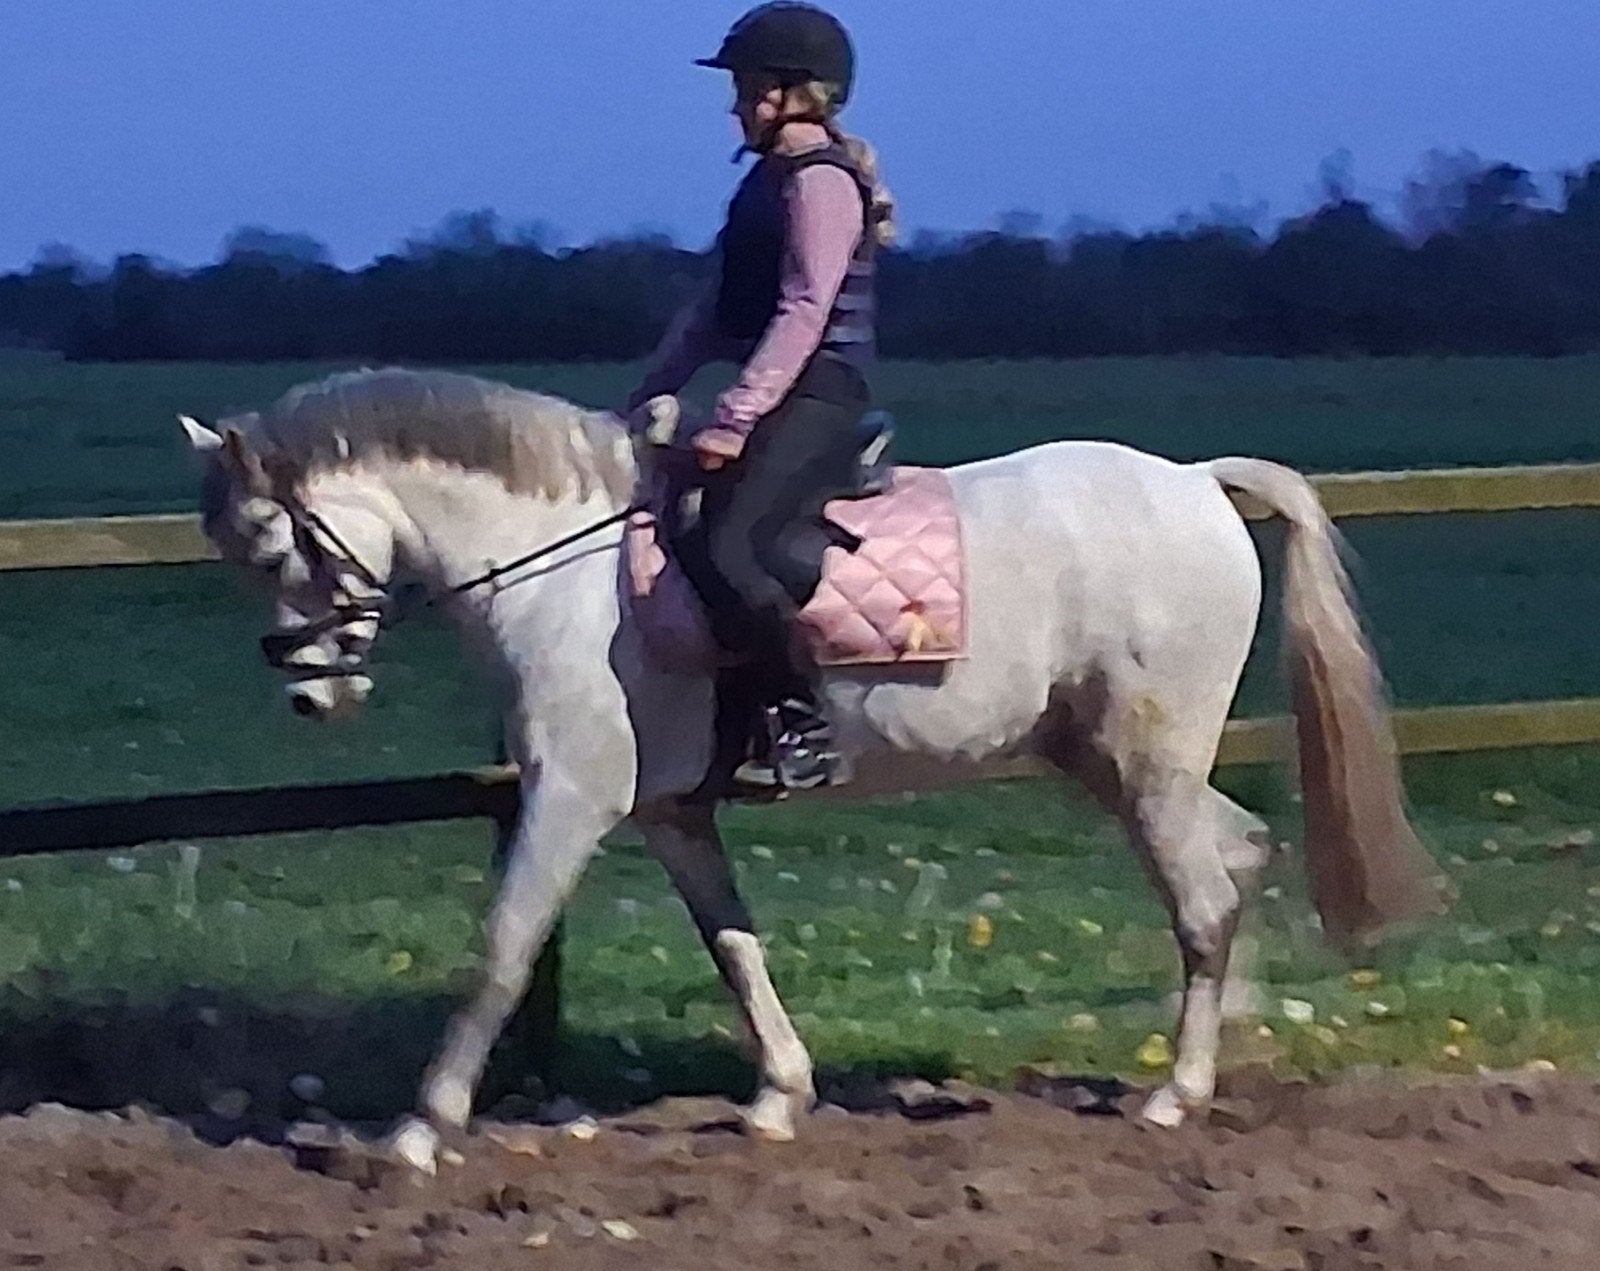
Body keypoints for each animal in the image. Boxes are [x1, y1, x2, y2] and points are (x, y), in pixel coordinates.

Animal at [180, 366, 1441, 1170]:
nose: (311, 693)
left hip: (1146, 762)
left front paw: (415, 1130)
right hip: (1113, 760)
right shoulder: (672, 811)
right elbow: (733, 944)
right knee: (1238, 855)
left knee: (1203, 896)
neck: (562, 573)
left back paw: (1174, 1095)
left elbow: (501, 947)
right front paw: (779, 1098)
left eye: (273, 545)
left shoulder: (573, 796)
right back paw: (1207, 1063)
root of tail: (1191, 479)